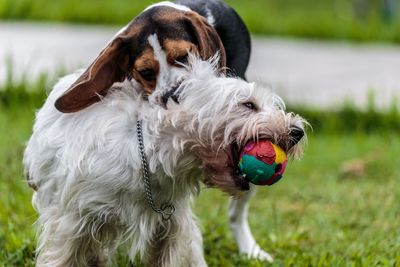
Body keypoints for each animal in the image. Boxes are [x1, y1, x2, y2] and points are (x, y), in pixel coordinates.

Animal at [24, 55, 306, 266]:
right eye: (248, 104)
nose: (297, 132)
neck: (150, 158)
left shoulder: (170, 228)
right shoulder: (73, 221)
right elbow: (62, 255)